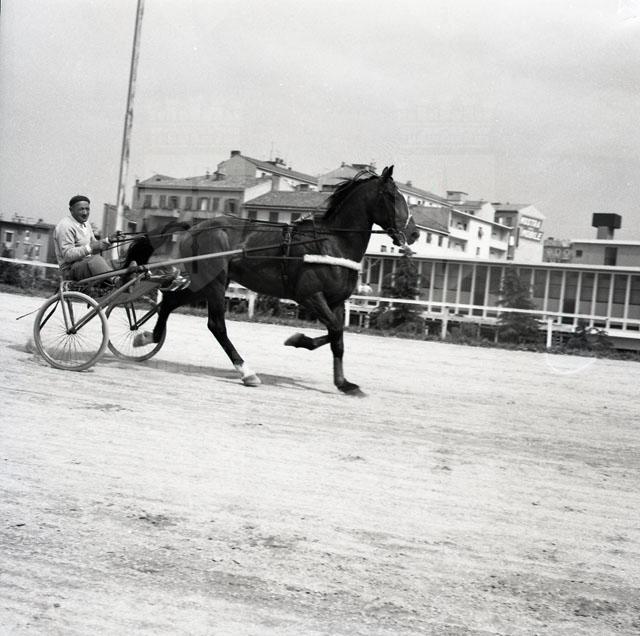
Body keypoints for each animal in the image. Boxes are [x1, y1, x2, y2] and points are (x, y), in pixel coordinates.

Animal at [126, 166, 419, 394]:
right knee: (216, 325)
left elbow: (338, 337)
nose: (414, 233)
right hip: (215, 282)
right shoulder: (310, 296)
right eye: (392, 196)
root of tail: (194, 227)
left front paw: (343, 382)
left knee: (170, 302)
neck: (331, 242)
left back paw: (147, 336)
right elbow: (335, 331)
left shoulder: (336, 301)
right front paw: (300, 340)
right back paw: (246, 372)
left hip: (203, 283)